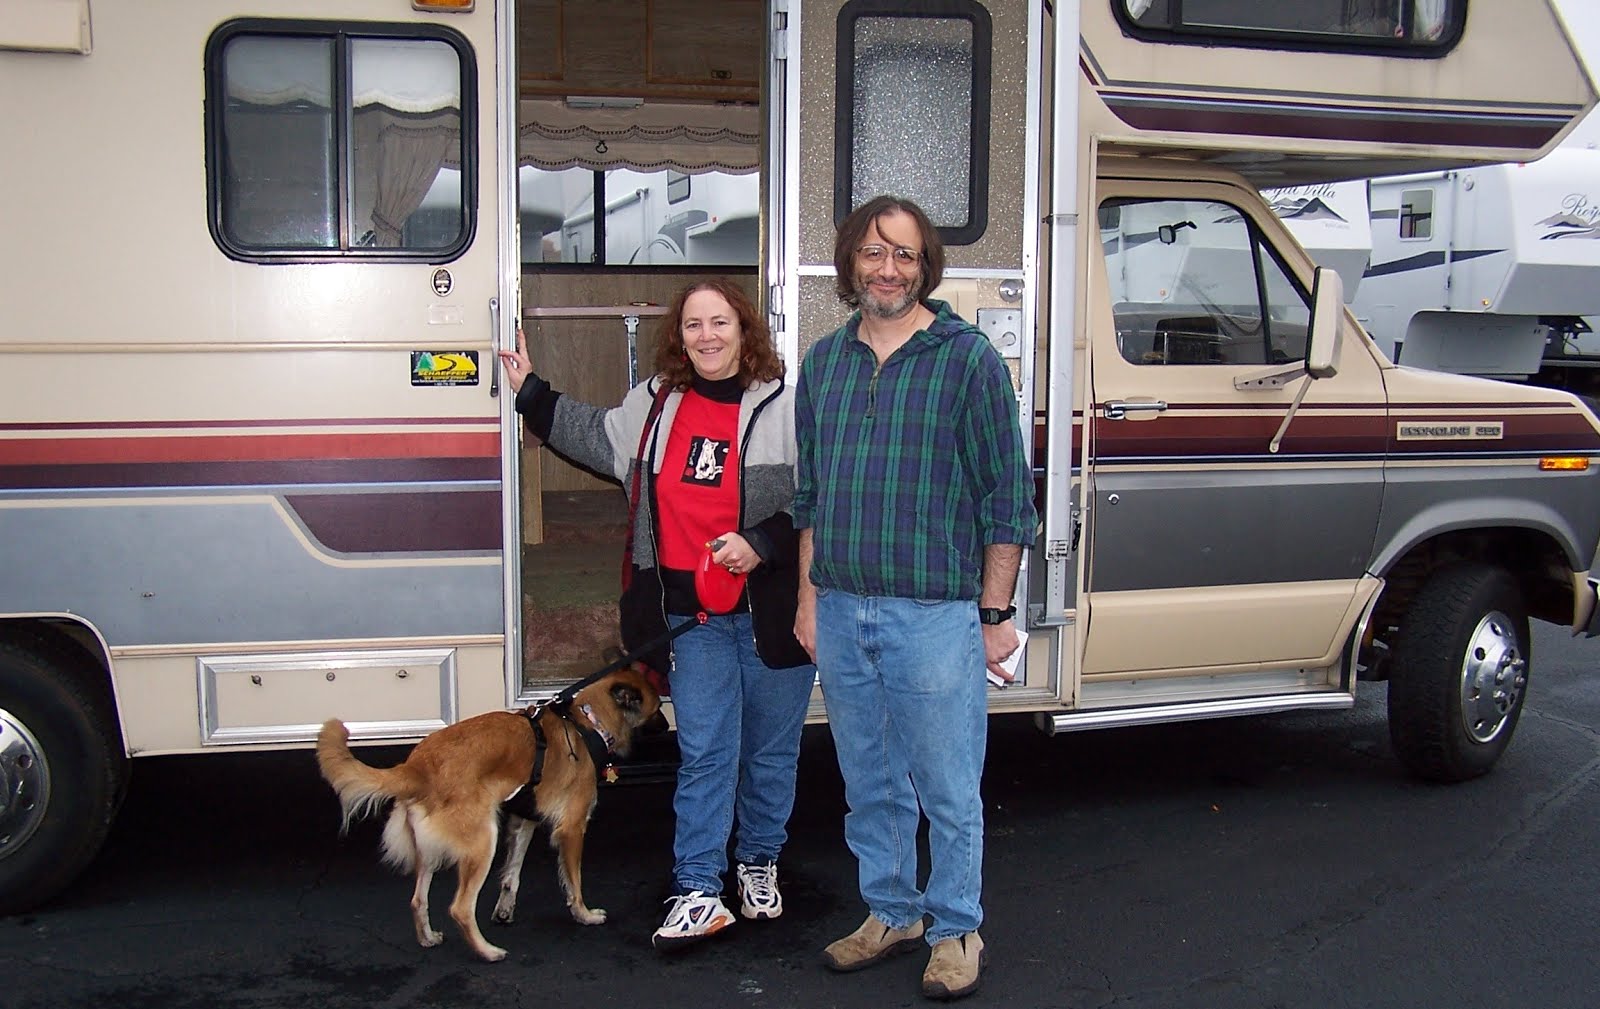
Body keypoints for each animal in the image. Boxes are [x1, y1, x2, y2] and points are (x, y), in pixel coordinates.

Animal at [312, 668, 662, 965]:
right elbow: (573, 882)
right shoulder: (571, 829)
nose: (666, 723)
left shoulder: (524, 820)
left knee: (417, 899)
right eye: (658, 707)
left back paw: (427, 937)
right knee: (460, 908)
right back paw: (487, 951)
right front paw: (584, 915)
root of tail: (417, 766)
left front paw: (505, 910)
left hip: (430, 853)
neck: (586, 720)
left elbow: (512, 874)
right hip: (482, 842)